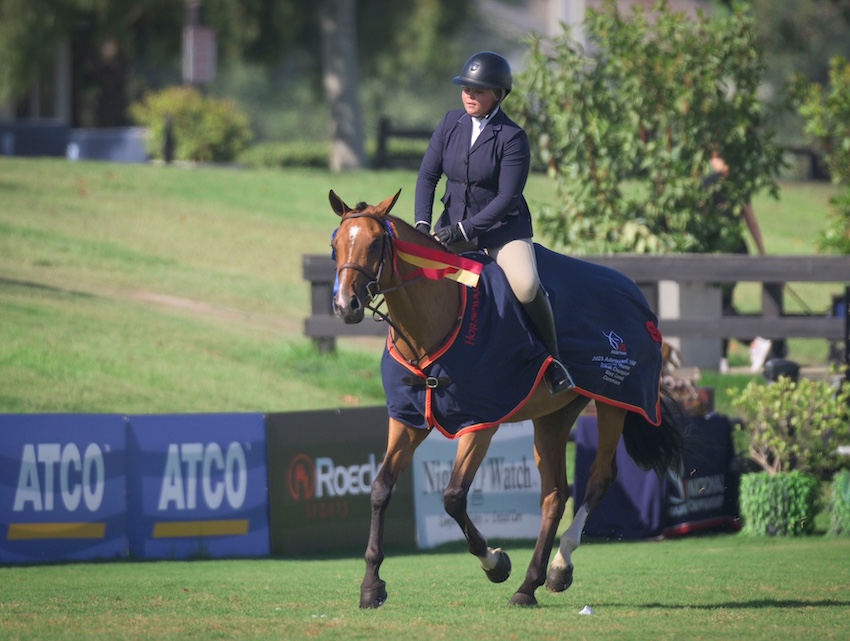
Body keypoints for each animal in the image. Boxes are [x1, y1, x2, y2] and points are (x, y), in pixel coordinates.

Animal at [324, 186, 684, 604]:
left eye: (376, 242)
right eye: (336, 244)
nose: (345, 306)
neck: (431, 321)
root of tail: (637, 295)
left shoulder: (480, 423)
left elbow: (453, 496)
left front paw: (495, 563)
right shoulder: (408, 419)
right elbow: (381, 488)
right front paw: (371, 585)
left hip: (614, 402)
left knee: (598, 478)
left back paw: (558, 566)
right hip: (553, 415)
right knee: (554, 494)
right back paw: (531, 584)